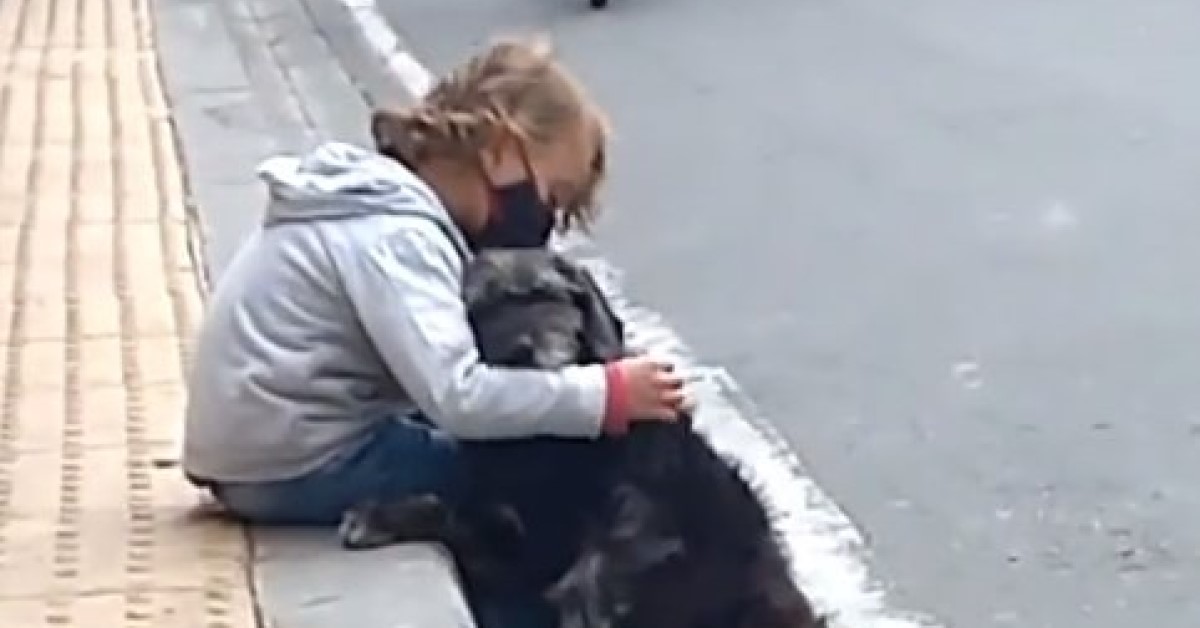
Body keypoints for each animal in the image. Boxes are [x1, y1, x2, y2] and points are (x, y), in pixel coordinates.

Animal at [338, 248, 825, 624]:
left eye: (546, 293)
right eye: (482, 306)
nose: (524, 352)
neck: (552, 445)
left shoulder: (666, 508)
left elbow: (632, 530)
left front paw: (584, 592)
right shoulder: (513, 549)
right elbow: (452, 512)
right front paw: (385, 514)